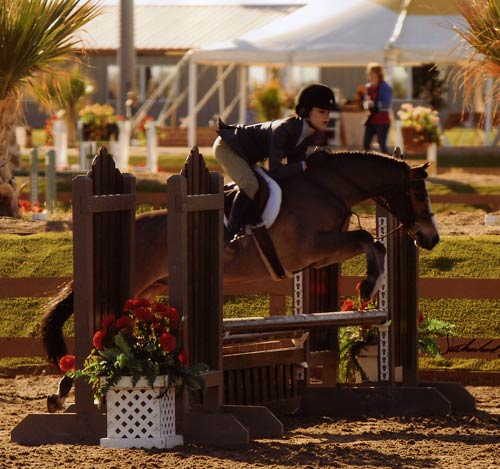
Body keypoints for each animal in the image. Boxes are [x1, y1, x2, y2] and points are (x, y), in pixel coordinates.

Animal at [44, 149, 442, 410]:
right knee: (97, 327)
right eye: (417, 194)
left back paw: (66, 390)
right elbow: (367, 239)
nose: (430, 238)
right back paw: (64, 392)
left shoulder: (322, 255)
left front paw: (371, 284)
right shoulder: (311, 247)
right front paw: (369, 285)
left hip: (148, 288)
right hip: (131, 284)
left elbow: (374, 243)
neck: (330, 187)